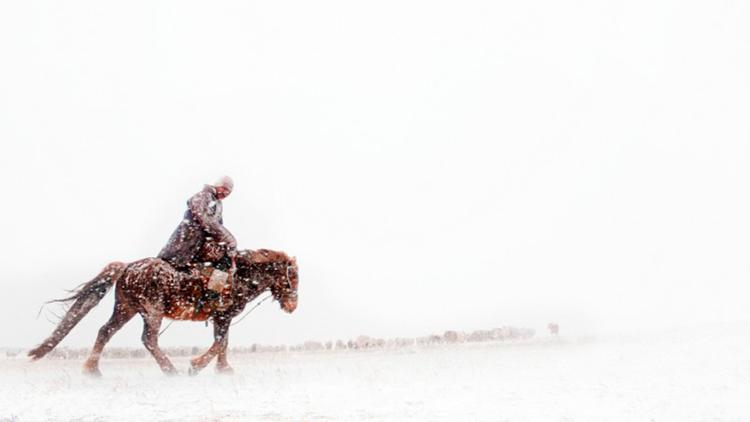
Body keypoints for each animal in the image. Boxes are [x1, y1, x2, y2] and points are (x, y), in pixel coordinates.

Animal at [29, 247, 300, 376]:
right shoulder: (223, 316)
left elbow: (222, 343)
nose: (292, 306)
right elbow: (220, 343)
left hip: (126, 309)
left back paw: (92, 369)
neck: (240, 277)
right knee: (148, 339)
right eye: (292, 279)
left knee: (105, 332)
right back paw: (170, 369)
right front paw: (196, 365)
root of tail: (128, 267)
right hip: (152, 311)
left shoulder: (221, 318)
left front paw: (223, 369)